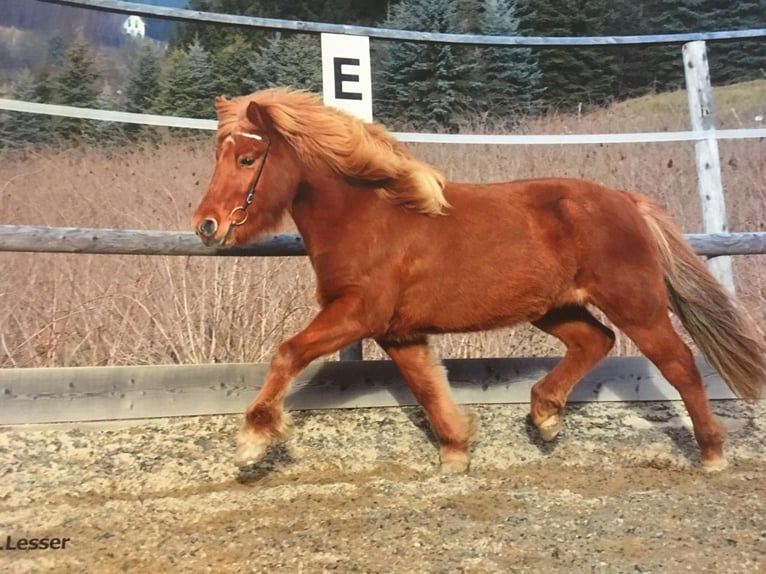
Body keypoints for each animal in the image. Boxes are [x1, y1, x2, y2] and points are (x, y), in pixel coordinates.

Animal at [192, 87, 765, 473]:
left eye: (247, 157)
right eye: (218, 155)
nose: (206, 226)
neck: (368, 216)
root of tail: (627, 201)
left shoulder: (357, 313)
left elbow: (288, 353)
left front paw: (252, 441)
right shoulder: (398, 332)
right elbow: (426, 387)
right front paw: (456, 449)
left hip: (636, 305)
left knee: (680, 363)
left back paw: (712, 453)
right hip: (555, 307)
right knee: (594, 341)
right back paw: (545, 415)